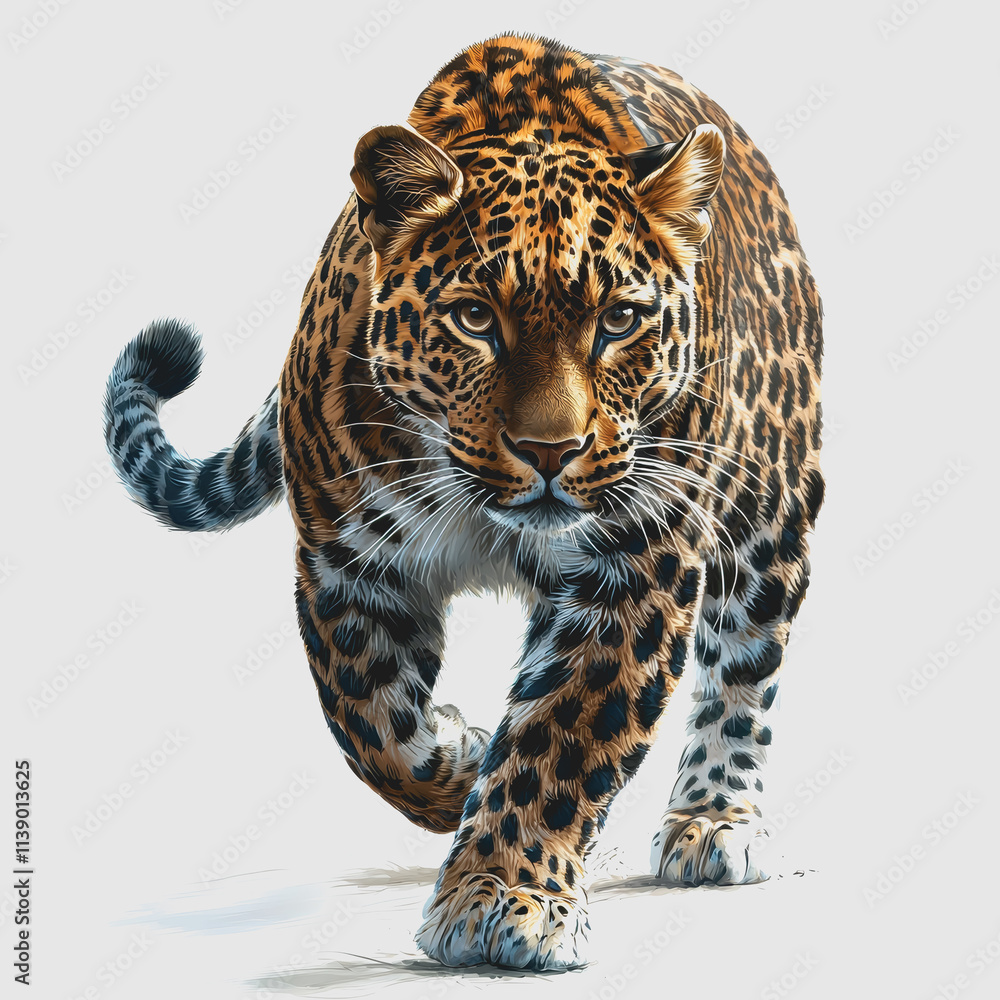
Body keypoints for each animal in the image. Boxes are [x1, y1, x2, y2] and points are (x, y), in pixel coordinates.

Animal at [103, 33, 823, 971]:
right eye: (476, 318)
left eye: (620, 321)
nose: (551, 452)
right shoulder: (346, 564)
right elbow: (369, 724)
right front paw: (459, 760)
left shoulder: (640, 561)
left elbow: (562, 735)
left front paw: (504, 899)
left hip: (771, 509)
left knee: (744, 661)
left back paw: (713, 819)